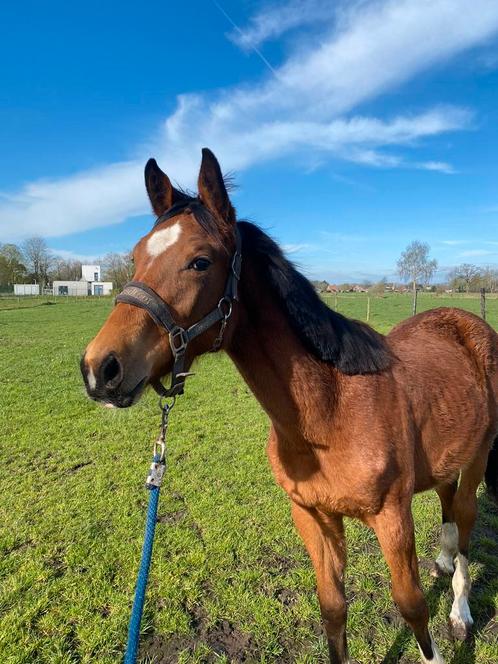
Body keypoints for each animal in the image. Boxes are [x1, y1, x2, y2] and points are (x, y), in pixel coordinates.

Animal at [81, 150, 498, 664]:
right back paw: (442, 562)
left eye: (200, 262)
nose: (100, 368)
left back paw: (460, 613)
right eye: (137, 257)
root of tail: (464, 321)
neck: (331, 413)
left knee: (464, 518)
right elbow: (333, 608)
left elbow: (412, 606)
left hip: (478, 457)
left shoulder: (392, 519)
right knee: (446, 505)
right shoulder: (313, 516)